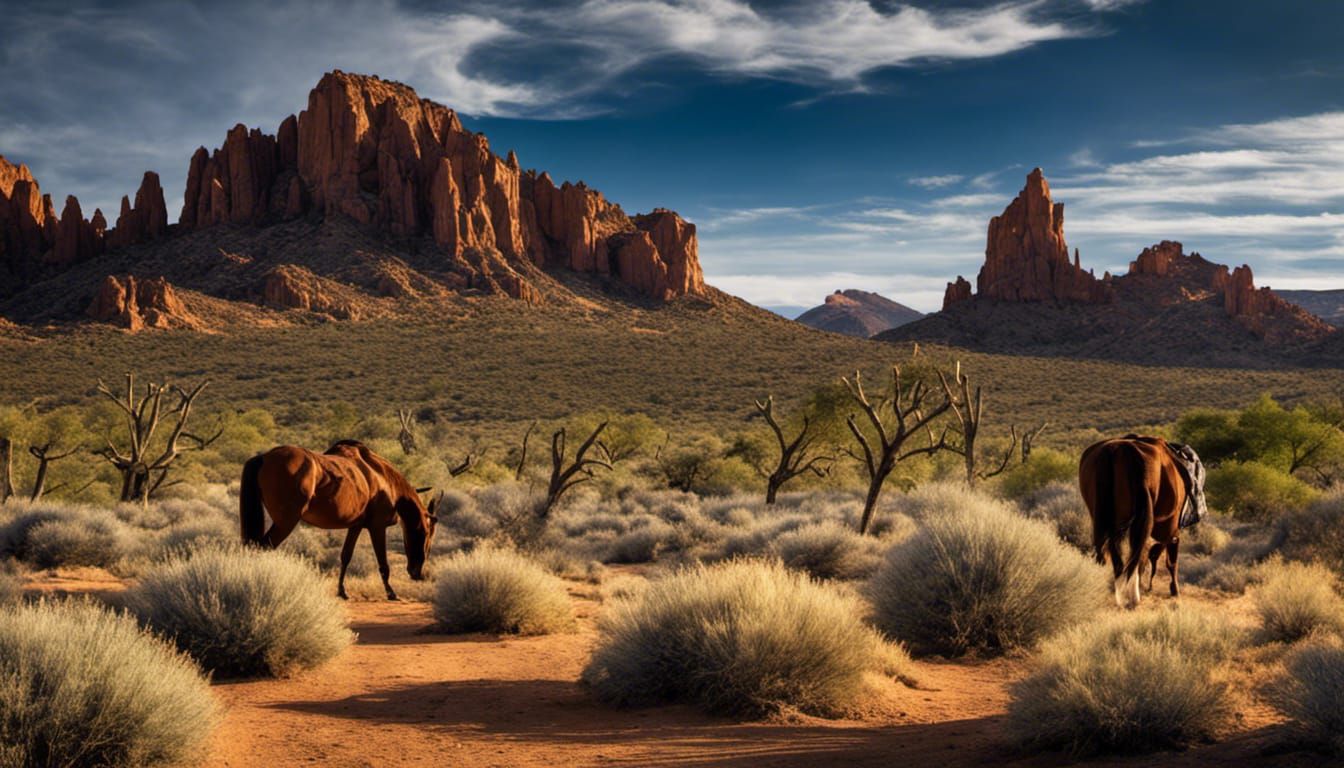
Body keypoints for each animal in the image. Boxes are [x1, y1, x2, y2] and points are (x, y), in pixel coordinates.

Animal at [239, 440, 438, 600]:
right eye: (427, 532)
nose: (417, 572)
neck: (382, 477)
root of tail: (264, 458)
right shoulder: (377, 527)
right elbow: (383, 564)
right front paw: (391, 593)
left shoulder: (356, 526)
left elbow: (346, 556)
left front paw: (342, 591)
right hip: (285, 523)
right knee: (263, 546)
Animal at [1079, 434, 1190, 609]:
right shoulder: (1171, 527)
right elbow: (1169, 559)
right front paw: (1174, 590)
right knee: (1134, 554)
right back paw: (1132, 595)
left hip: (1106, 520)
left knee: (1111, 552)